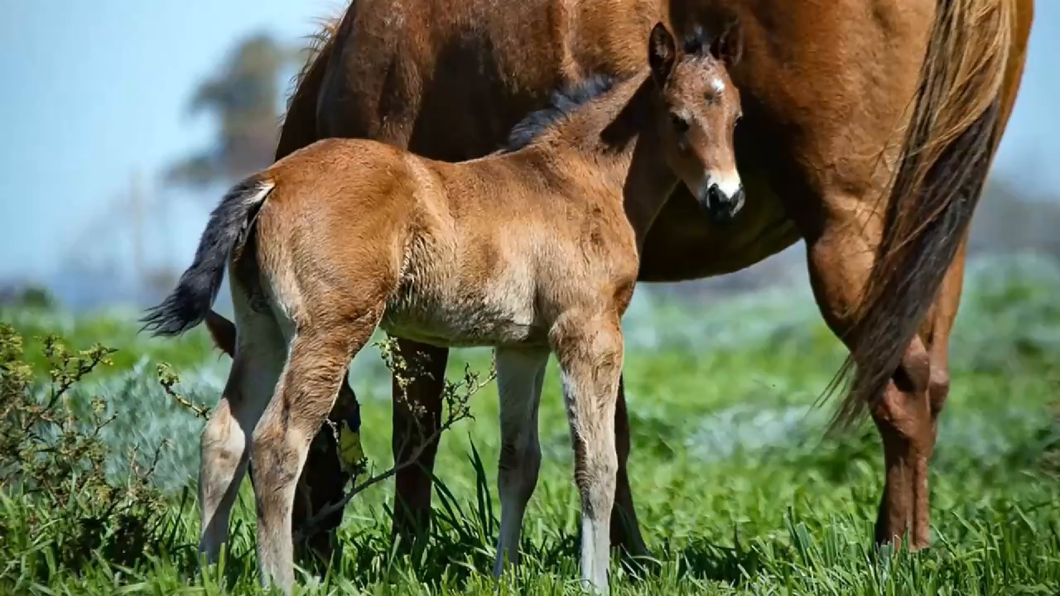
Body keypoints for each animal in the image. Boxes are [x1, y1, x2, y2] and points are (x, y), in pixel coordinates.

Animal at [147, 22, 746, 589]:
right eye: (679, 119)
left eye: (737, 117)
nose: (726, 199)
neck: (577, 182)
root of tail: (270, 180)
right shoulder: (588, 331)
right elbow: (597, 464)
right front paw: (593, 582)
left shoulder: (523, 346)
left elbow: (518, 463)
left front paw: (504, 575)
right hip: (329, 331)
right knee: (276, 445)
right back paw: (281, 581)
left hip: (261, 330)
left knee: (225, 438)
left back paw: (208, 573)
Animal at [213, 0, 1026, 555]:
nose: (312, 553)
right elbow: (607, 437)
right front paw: (628, 554)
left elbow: (420, 427)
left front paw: (409, 552)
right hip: (931, 236)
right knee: (929, 381)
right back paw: (908, 541)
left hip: (848, 233)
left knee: (900, 384)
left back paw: (898, 554)